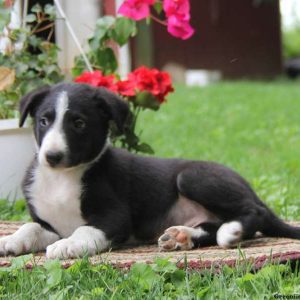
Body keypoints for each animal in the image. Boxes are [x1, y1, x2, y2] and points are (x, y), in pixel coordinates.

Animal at [0, 83, 300, 258]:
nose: (52, 156)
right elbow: (30, 226)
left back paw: (231, 231)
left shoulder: (115, 216)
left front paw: (67, 246)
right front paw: (11, 240)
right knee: (212, 227)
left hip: (192, 177)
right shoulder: (50, 223)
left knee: (255, 213)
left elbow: (85, 230)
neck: (62, 177)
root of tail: (247, 186)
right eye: (44, 120)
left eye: (79, 123)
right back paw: (182, 236)